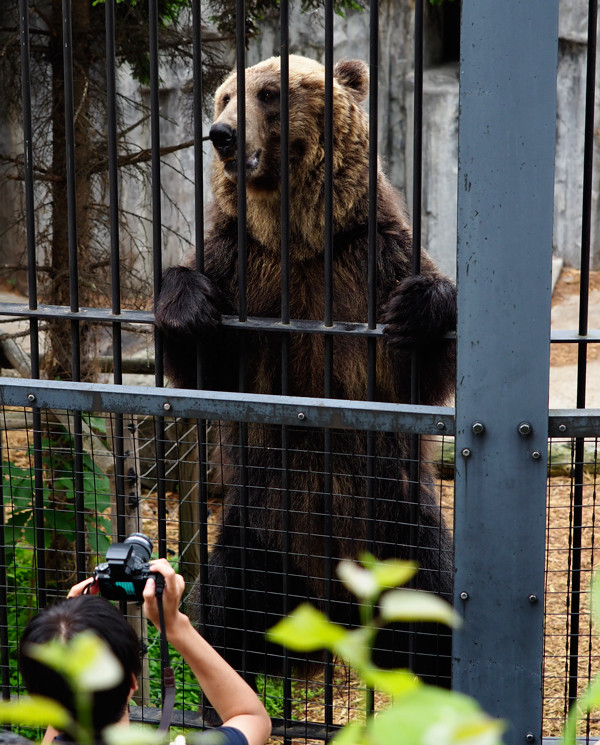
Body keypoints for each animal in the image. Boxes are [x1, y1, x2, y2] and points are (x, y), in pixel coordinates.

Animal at [155, 53, 454, 696]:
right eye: (224, 97)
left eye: (269, 93)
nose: (221, 134)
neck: (302, 243)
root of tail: (335, 608)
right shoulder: (243, 268)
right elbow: (207, 366)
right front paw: (188, 308)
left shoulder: (368, 260)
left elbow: (417, 369)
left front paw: (419, 309)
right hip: (258, 530)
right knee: (231, 608)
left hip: (398, 526)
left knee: (435, 608)